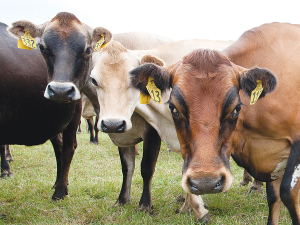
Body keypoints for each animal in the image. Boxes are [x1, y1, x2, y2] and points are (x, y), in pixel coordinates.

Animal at [89, 30, 234, 221]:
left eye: (135, 81)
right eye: (93, 80)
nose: (112, 123)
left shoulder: (153, 133)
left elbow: (146, 167)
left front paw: (145, 205)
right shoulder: (124, 135)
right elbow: (127, 167)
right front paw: (121, 200)